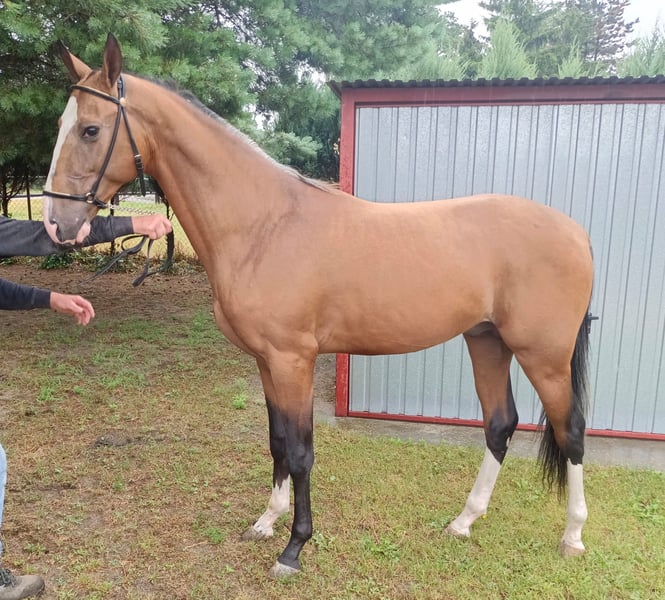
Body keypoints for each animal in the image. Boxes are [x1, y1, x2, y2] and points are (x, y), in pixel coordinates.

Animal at [42, 34, 594, 578]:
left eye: (91, 129)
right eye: (62, 125)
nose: (56, 225)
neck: (265, 225)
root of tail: (576, 232)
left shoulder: (294, 360)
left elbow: (302, 451)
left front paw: (293, 548)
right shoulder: (267, 362)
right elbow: (277, 441)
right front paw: (267, 522)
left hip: (543, 356)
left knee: (571, 431)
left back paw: (572, 537)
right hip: (487, 341)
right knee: (500, 424)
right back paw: (463, 522)